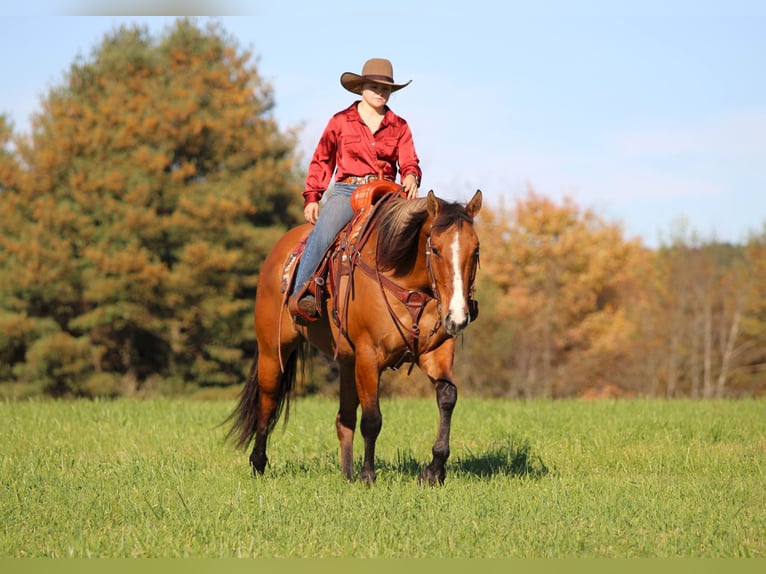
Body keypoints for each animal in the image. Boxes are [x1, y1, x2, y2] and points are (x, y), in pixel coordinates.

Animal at [226, 187, 482, 485]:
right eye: (437, 249)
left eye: (476, 250)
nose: (458, 317)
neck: (402, 278)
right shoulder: (369, 357)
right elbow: (372, 419)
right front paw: (368, 475)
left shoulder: (436, 351)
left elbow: (447, 396)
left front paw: (434, 471)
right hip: (272, 350)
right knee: (267, 402)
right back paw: (258, 464)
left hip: (347, 363)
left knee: (343, 418)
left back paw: (346, 473)